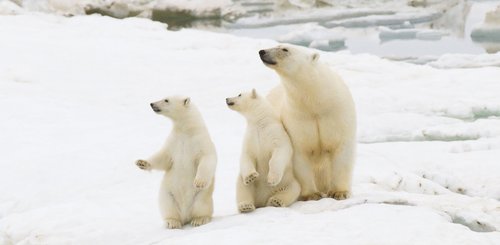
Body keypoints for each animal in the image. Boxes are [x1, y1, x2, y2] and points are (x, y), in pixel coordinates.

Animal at [136, 96, 216, 230]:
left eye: (166, 100)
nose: (152, 104)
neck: (186, 130)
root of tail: (185, 215)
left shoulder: (200, 140)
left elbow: (207, 158)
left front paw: (199, 182)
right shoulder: (173, 142)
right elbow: (163, 157)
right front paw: (141, 162)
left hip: (201, 196)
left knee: (201, 206)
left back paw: (198, 220)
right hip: (168, 194)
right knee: (169, 207)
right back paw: (172, 222)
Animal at [260, 44, 358, 201]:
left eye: (285, 49)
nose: (262, 51)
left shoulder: (337, 114)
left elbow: (341, 150)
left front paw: (340, 192)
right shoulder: (298, 119)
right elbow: (301, 154)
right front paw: (311, 194)